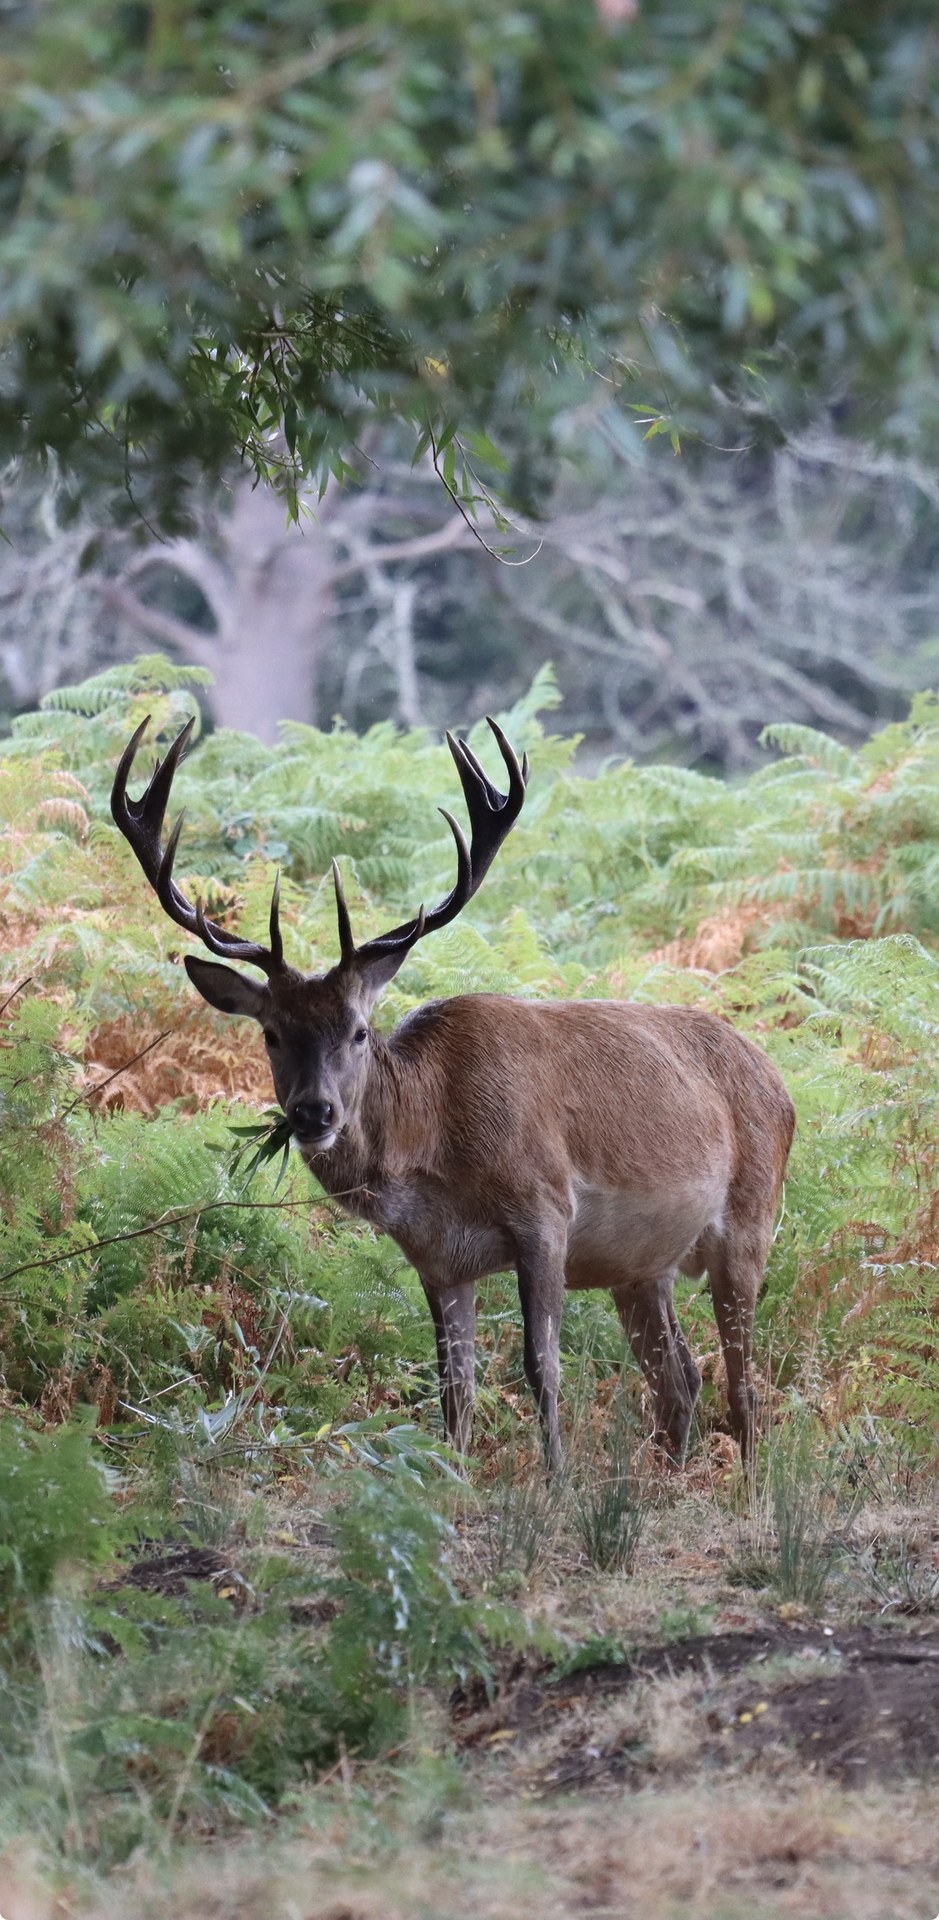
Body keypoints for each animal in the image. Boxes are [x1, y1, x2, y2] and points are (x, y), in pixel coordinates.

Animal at [111, 714, 795, 1472]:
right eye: (270, 1033)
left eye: (358, 1031)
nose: (313, 1112)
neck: (435, 1146)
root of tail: (776, 1079)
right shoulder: (438, 1260)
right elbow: (452, 1389)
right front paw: (452, 1477)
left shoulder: (545, 1209)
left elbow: (540, 1367)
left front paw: (555, 1481)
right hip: (643, 1267)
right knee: (680, 1378)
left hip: (750, 1221)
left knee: (743, 1384)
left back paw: (746, 1482)